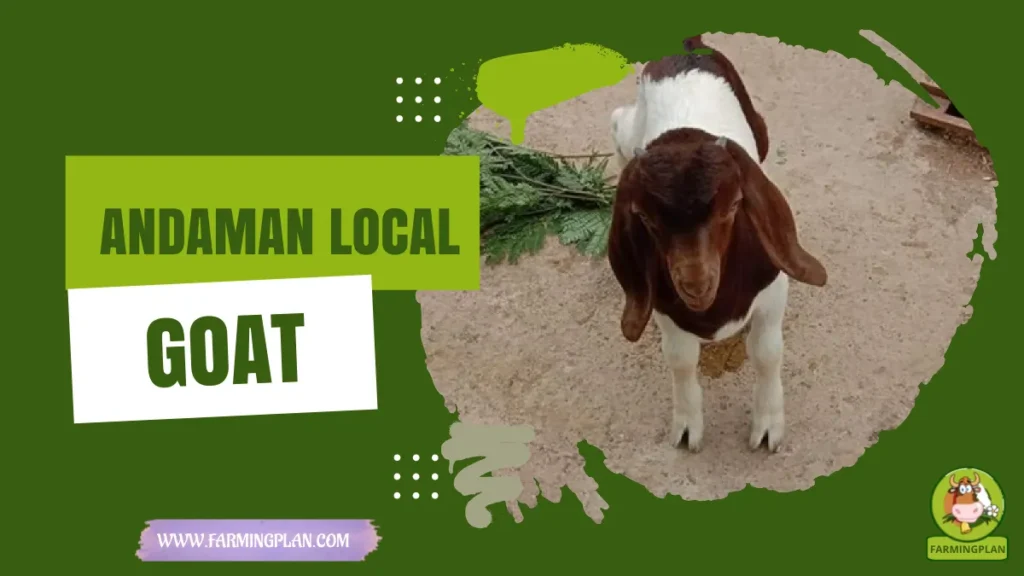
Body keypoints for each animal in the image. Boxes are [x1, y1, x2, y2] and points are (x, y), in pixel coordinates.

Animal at [607, 35, 827, 453]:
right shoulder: (662, 308)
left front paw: (767, 426)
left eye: (735, 206)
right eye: (645, 219)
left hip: (759, 125)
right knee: (620, 125)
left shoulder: (774, 290)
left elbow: (767, 354)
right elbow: (679, 359)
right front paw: (687, 427)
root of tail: (684, 44)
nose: (695, 284)